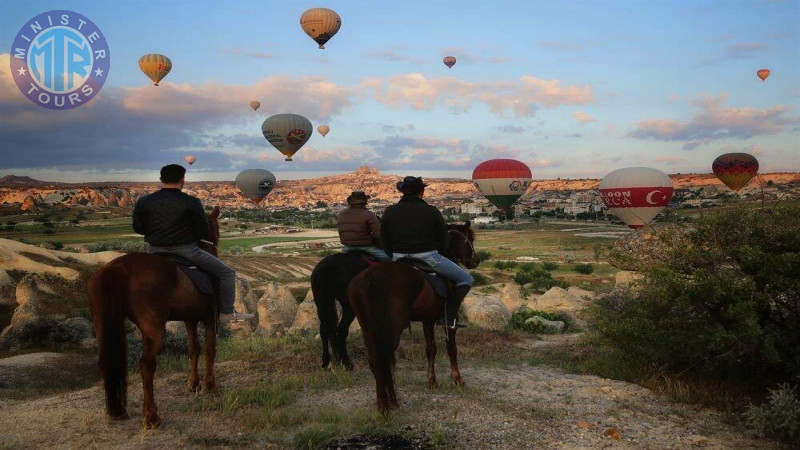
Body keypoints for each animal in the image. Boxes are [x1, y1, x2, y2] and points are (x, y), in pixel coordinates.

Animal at [88, 206, 223, 428]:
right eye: (216, 227)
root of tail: (117, 268)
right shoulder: (209, 317)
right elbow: (210, 349)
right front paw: (210, 384)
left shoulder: (190, 319)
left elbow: (193, 349)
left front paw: (193, 384)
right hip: (154, 327)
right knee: (147, 365)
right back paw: (151, 416)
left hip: (102, 323)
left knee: (105, 361)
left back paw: (116, 411)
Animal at [310, 221, 476, 372]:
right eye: (471, 239)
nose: (475, 260)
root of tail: (328, 266)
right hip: (348, 307)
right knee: (341, 330)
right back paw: (346, 363)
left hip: (323, 302)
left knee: (325, 329)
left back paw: (328, 362)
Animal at [346, 221, 478, 412]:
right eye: (470, 239)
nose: (475, 260)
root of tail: (373, 275)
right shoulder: (448, 320)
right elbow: (451, 348)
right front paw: (457, 378)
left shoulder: (427, 320)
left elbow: (431, 350)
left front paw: (432, 381)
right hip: (392, 327)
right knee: (384, 358)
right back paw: (389, 404)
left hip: (368, 327)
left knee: (375, 359)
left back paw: (384, 403)